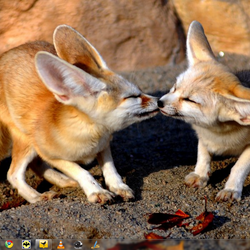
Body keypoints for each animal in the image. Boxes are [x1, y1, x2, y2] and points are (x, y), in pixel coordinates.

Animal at [0, 24, 158, 205]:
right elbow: (82, 171)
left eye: (139, 91)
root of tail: (5, 54)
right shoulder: (49, 153)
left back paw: (63, 181)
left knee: (36, 165)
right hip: (26, 141)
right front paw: (96, 191)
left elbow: (111, 169)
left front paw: (118, 186)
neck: (90, 133)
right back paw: (37, 197)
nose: (160, 101)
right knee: (13, 174)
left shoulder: (104, 145)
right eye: (132, 97)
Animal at [158, 20, 250, 202]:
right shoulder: (203, 135)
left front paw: (231, 189)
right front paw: (200, 174)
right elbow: (203, 154)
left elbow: (239, 167)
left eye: (190, 100)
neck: (219, 134)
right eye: (175, 87)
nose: (159, 102)